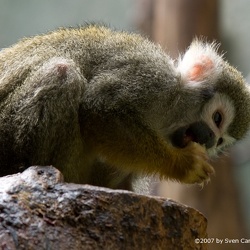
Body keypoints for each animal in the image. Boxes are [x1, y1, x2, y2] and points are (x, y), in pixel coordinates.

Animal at [0, 24, 250, 189]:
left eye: (220, 142)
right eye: (217, 119)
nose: (209, 141)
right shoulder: (150, 75)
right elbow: (99, 108)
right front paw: (182, 164)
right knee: (62, 73)